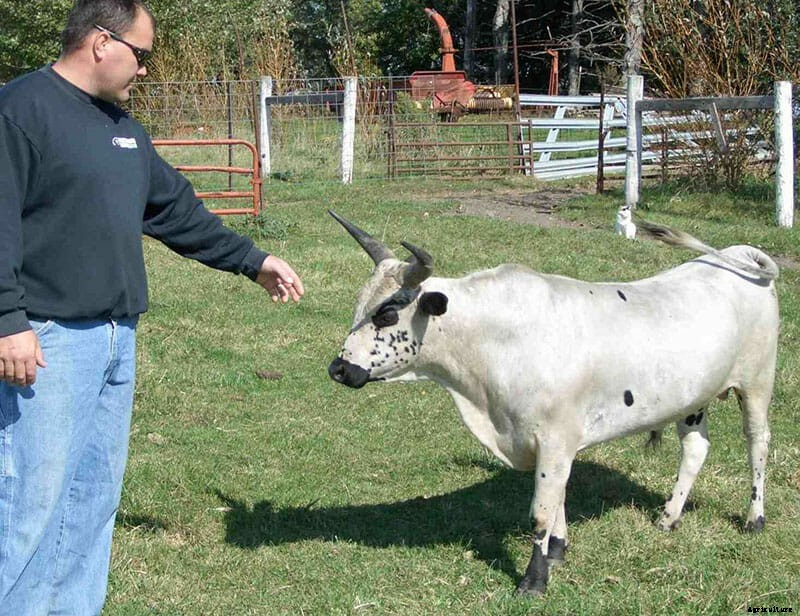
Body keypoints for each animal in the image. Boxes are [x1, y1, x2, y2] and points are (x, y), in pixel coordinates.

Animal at [327, 210, 779, 596]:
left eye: (387, 314)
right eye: (360, 304)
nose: (339, 368)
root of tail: (742, 254)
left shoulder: (556, 438)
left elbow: (541, 512)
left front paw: (534, 579)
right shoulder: (546, 443)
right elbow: (557, 497)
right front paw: (558, 550)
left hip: (757, 383)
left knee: (757, 442)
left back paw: (754, 519)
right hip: (694, 397)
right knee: (696, 448)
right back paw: (669, 517)